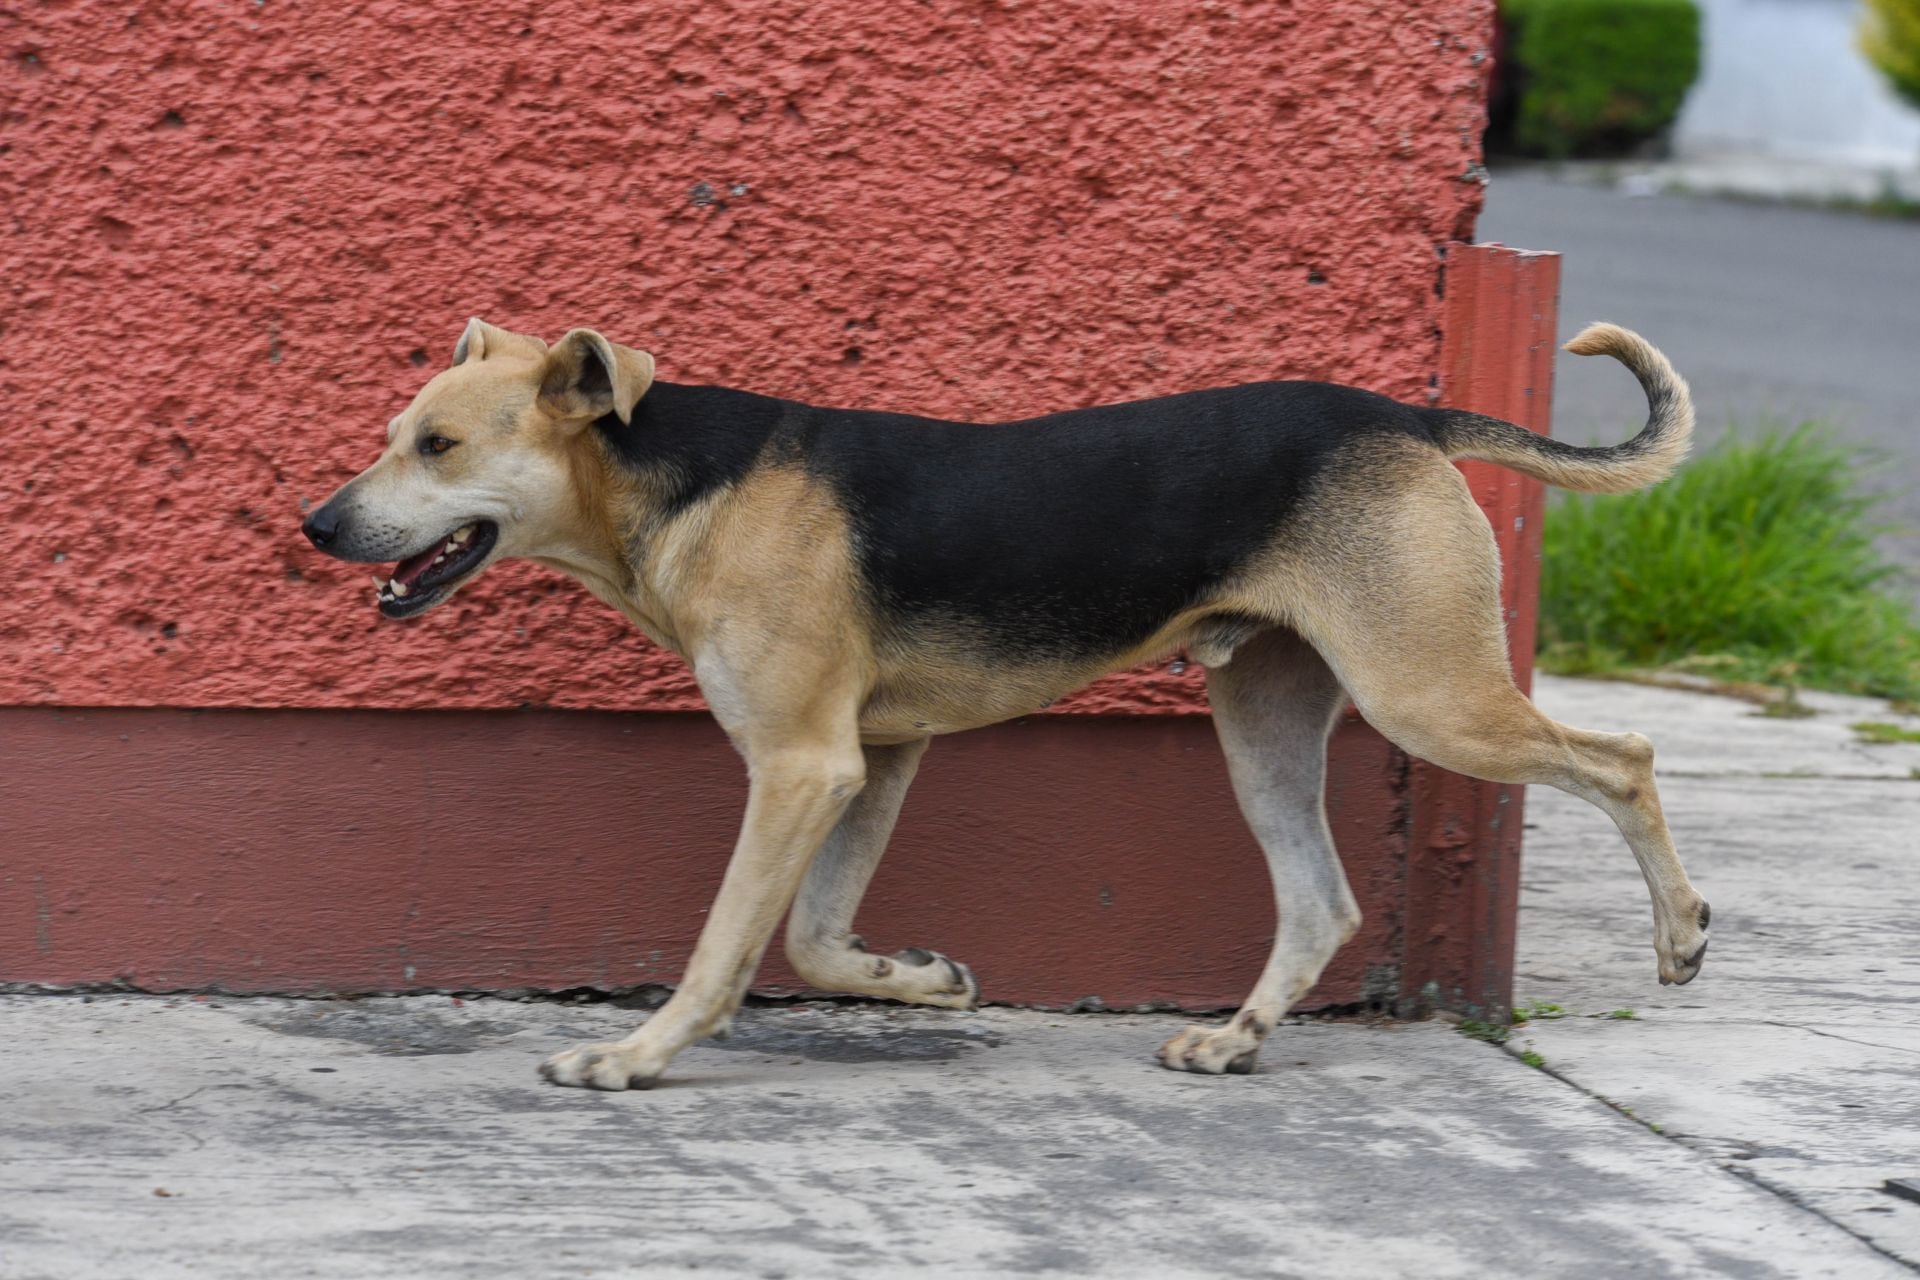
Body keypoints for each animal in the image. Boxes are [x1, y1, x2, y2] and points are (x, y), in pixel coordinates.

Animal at [303, 314, 1712, 1090]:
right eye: (392, 433)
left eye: (437, 445)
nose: (316, 524)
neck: (680, 484)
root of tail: (1409, 416)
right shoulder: (874, 755)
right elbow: (815, 938)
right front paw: (922, 979)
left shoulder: (803, 763)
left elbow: (727, 942)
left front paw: (636, 1056)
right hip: (1264, 721)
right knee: (1323, 901)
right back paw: (1236, 1040)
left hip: (1430, 693)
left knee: (1626, 756)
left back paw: (1683, 931)